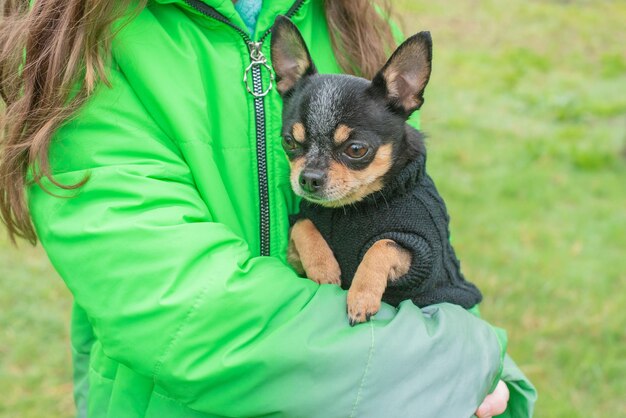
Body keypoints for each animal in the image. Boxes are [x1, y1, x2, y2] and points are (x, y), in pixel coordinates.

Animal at [270, 15, 480, 326]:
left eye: (356, 149)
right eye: (289, 141)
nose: (308, 178)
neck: (351, 208)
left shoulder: (420, 255)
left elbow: (381, 245)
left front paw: (361, 296)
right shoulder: (294, 252)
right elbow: (302, 225)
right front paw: (324, 268)